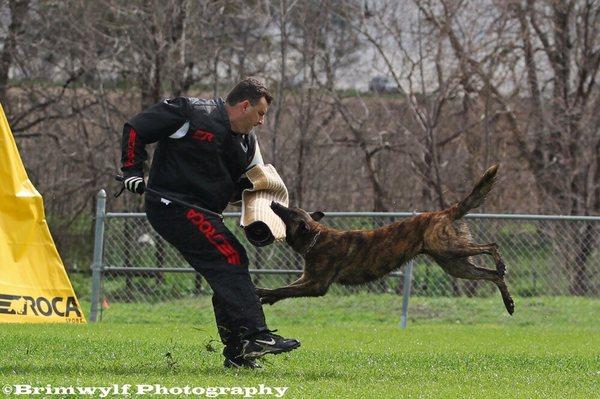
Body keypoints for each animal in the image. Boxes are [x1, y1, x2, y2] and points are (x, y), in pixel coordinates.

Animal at [255, 166, 512, 316]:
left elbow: (283, 289)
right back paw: (509, 302)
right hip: (455, 264)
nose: (274, 203)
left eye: (288, 212)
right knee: (492, 275)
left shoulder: (316, 285)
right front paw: (265, 295)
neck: (316, 239)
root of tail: (446, 212)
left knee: (492, 247)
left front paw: (263, 293)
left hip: (451, 249)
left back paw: (501, 265)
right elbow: (285, 289)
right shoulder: (306, 279)